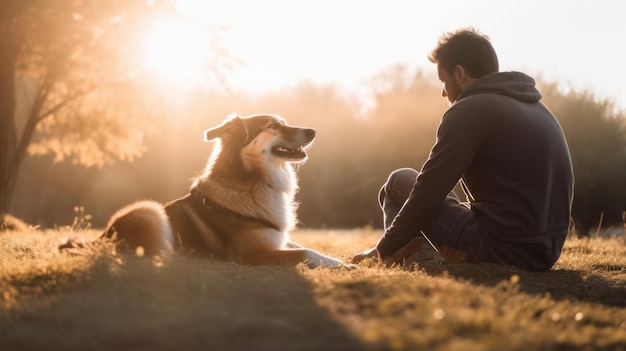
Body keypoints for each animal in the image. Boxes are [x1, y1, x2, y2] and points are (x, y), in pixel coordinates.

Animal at [61, 114, 344, 268]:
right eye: (272, 126)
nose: (313, 131)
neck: (253, 182)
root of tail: (101, 237)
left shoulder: (277, 239)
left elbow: (307, 247)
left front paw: (339, 260)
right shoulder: (252, 254)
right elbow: (304, 252)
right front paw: (342, 264)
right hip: (148, 210)